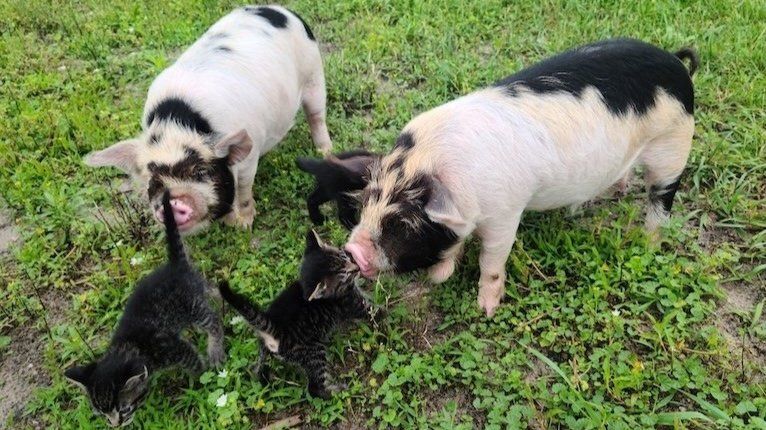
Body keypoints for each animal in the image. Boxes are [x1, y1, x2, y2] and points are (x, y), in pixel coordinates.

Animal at [84, 6, 331, 234]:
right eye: (152, 182)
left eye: (201, 172)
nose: (172, 202)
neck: (176, 126)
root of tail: (281, 10)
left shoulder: (248, 160)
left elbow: (243, 189)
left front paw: (243, 225)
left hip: (314, 75)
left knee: (317, 116)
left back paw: (325, 152)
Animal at [345, 38, 699, 317]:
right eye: (366, 203)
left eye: (402, 225)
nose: (352, 251)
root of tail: (675, 63)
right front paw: (439, 275)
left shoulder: (505, 214)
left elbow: (491, 261)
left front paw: (487, 309)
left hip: (673, 146)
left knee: (661, 200)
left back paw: (649, 244)